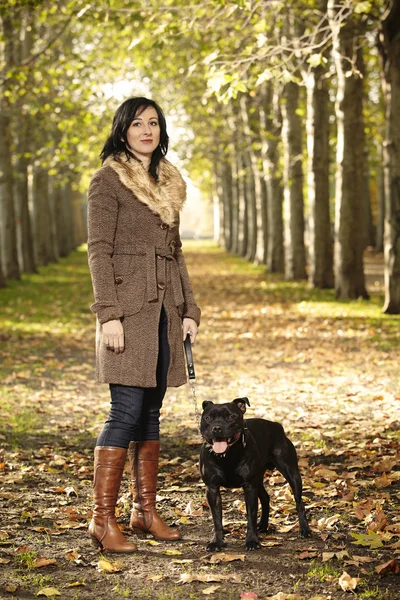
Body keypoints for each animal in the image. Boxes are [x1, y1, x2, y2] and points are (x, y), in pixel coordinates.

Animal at [202, 396, 310, 552]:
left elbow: (251, 516)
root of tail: (276, 425)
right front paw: (216, 542)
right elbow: (217, 519)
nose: (216, 428)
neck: (227, 456)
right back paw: (263, 525)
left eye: (230, 417)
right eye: (207, 418)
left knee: (299, 502)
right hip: (258, 480)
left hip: (292, 474)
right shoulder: (212, 489)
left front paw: (252, 541)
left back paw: (305, 529)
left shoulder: (249, 487)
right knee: (265, 497)